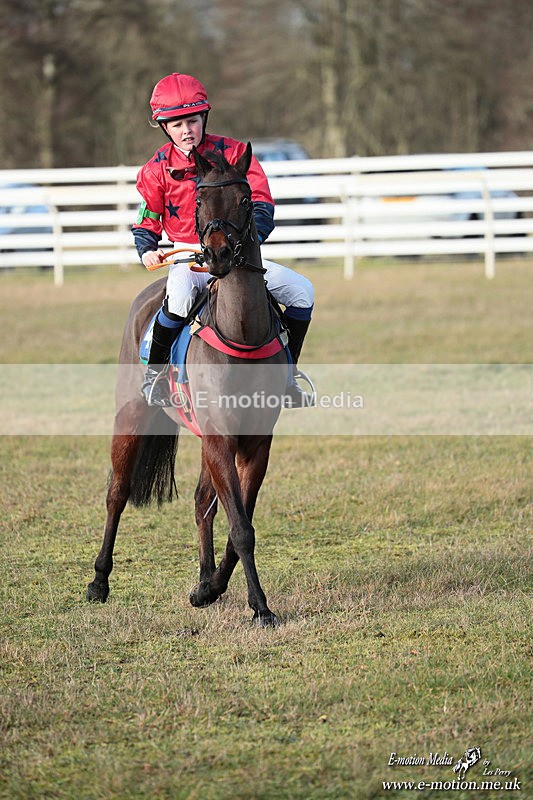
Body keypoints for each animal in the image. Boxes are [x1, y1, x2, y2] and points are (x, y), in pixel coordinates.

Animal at [86, 143, 288, 627]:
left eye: (244, 198)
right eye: (198, 199)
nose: (216, 255)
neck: (241, 333)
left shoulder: (254, 442)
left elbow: (237, 524)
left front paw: (212, 588)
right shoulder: (219, 437)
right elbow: (241, 526)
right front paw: (259, 606)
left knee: (200, 503)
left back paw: (203, 578)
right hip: (130, 418)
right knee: (117, 493)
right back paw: (99, 581)